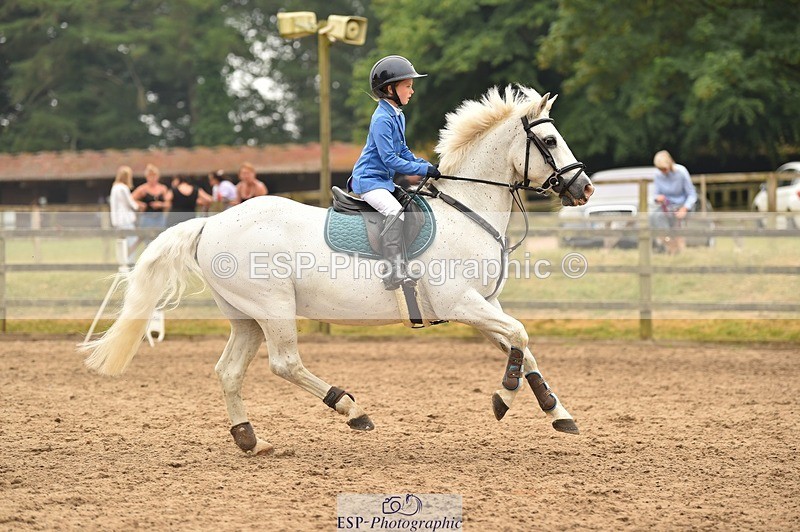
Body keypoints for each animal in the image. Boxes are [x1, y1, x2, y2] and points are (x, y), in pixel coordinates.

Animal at [81, 86, 594, 455]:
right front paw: (503, 398)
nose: (585, 188)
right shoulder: (463, 303)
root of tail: (211, 223)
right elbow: (521, 336)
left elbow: (522, 346)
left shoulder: (484, 304)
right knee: (285, 363)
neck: (466, 211)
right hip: (273, 308)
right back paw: (351, 409)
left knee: (228, 371)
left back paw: (250, 439)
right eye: (549, 140)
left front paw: (557, 413)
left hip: (247, 317)